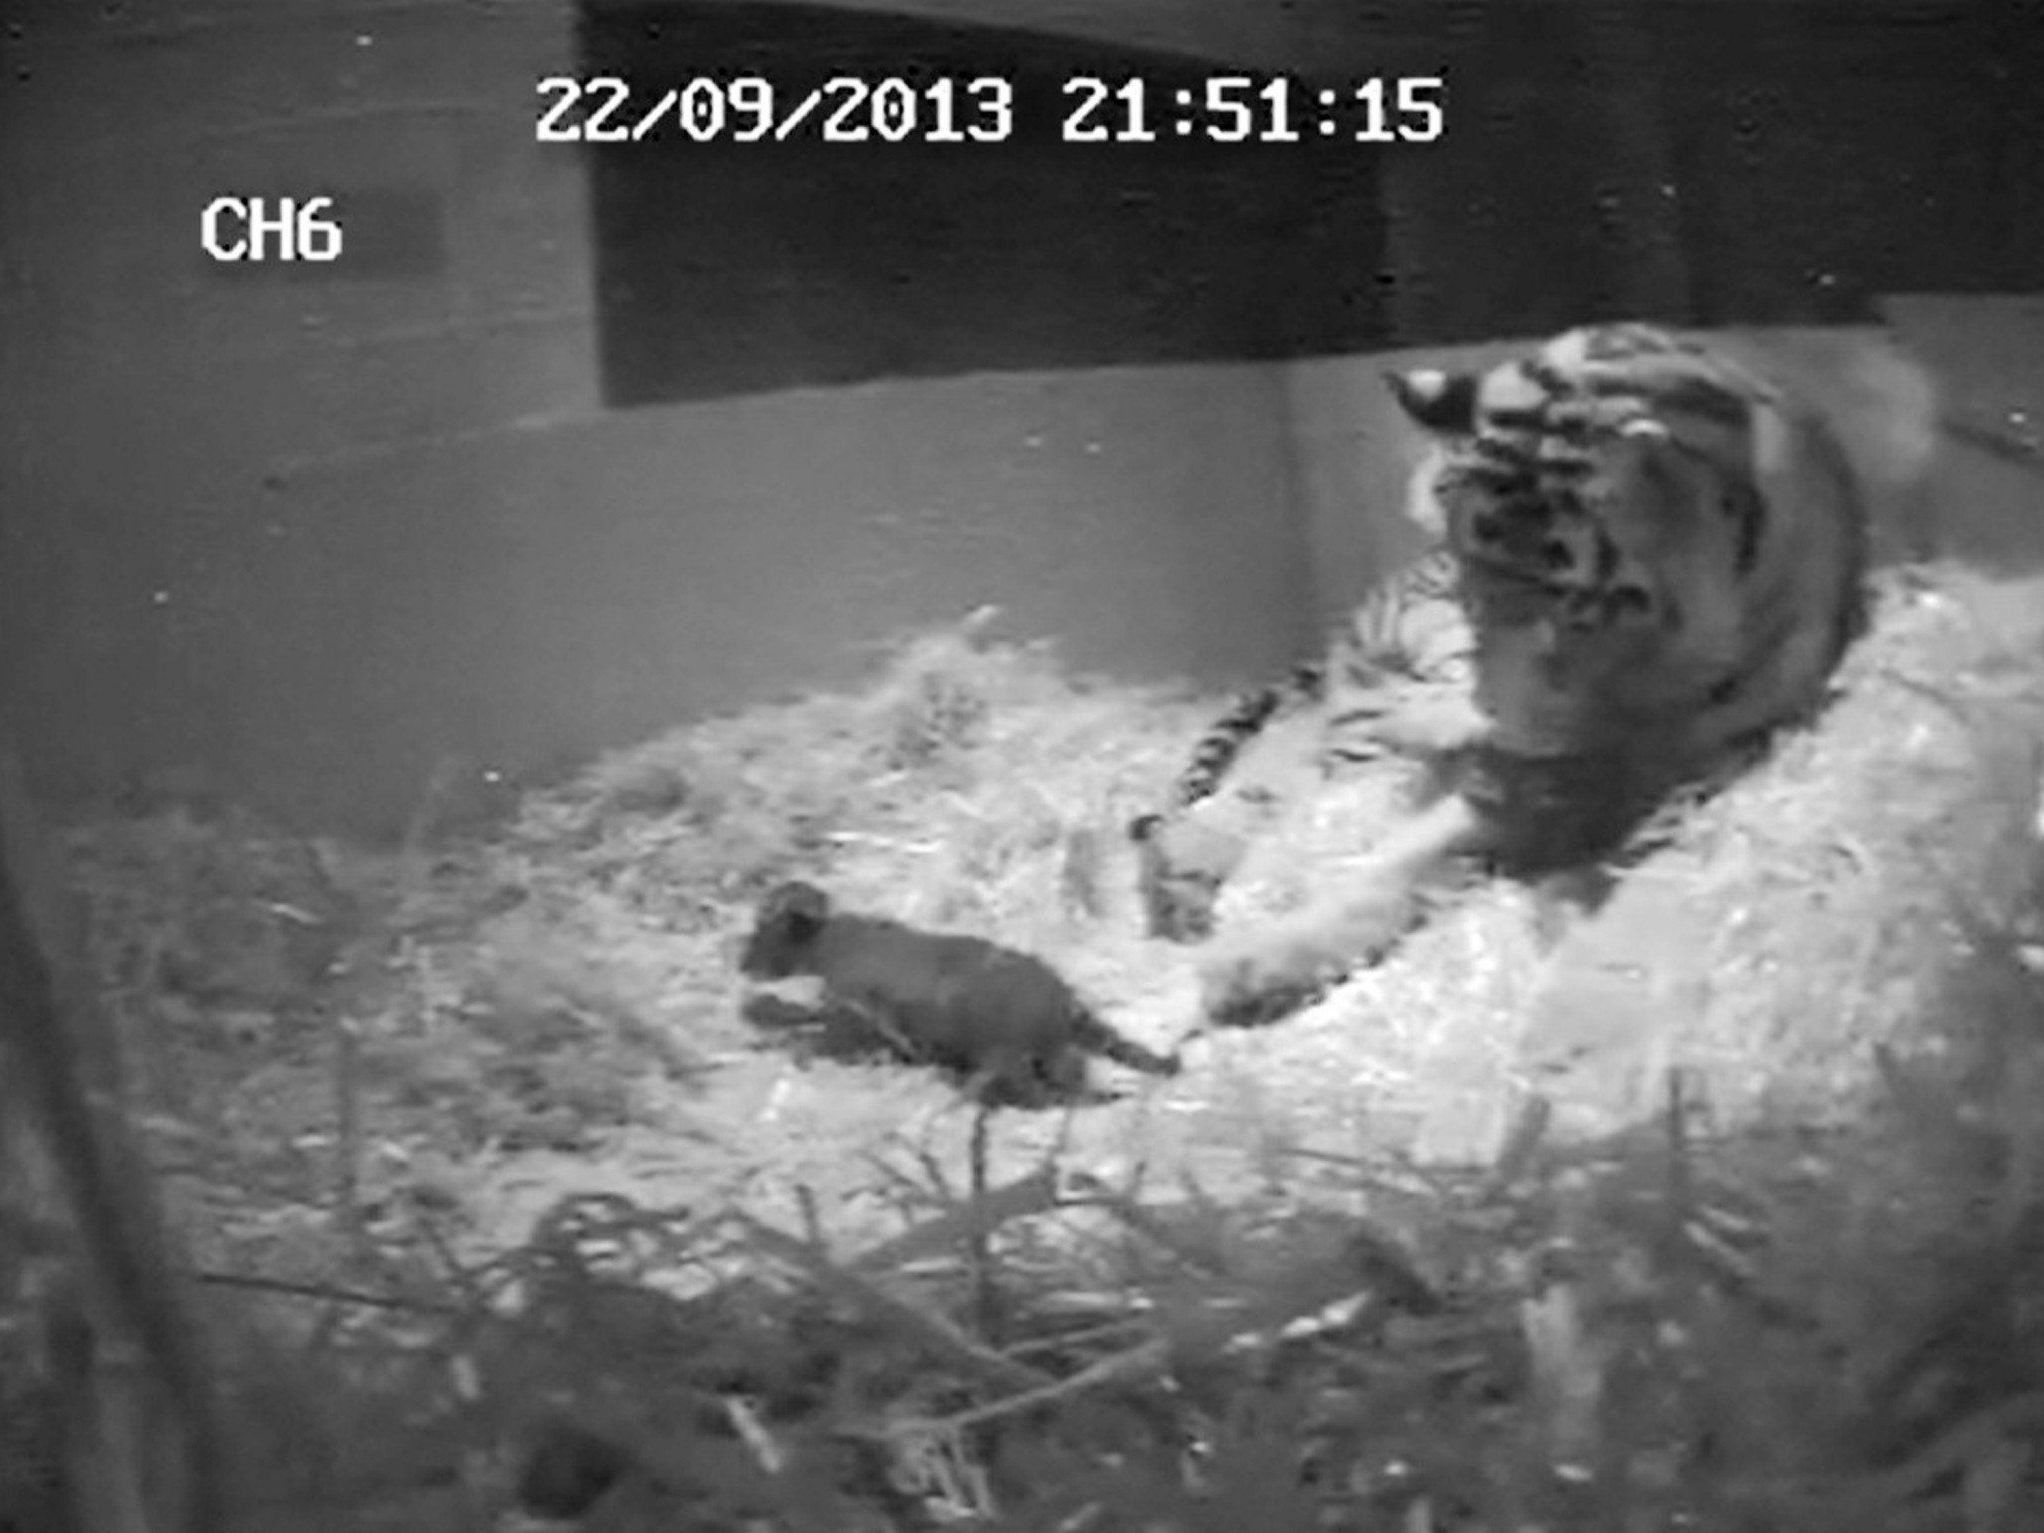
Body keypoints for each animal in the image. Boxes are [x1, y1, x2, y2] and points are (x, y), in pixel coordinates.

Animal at [1167, 320, 1941, 1027]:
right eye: (1474, 591)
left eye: (1573, 609)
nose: (1509, 724)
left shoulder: (1703, 757)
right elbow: (1401, 859)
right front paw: (1255, 962)